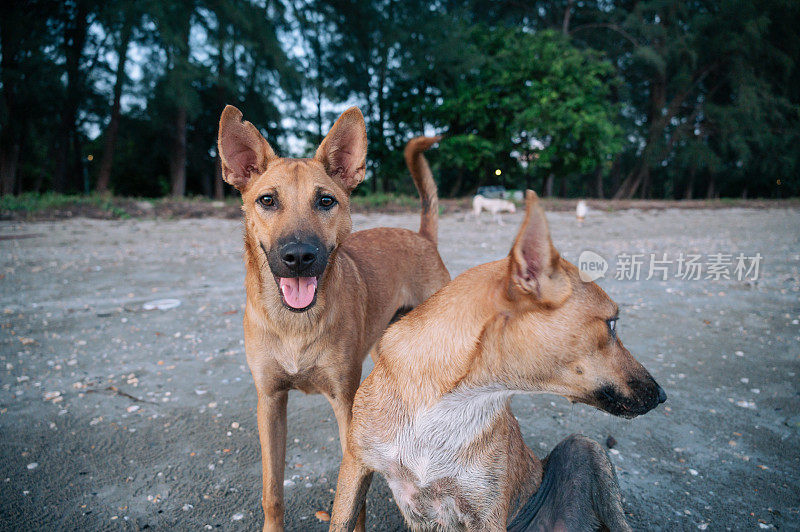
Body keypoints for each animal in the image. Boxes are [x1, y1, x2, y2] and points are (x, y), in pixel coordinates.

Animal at [216, 106, 454, 528]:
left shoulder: (346, 404)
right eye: (267, 200)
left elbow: (355, 497)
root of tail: (422, 237)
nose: (298, 256)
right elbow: (272, 490)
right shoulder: (270, 403)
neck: (295, 323)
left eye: (325, 201)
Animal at [328, 189, 664, 528]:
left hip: (585, 448)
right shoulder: (356, 468)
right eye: (612, 324)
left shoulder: (486, 515)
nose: (662, 396)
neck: (445, 403)